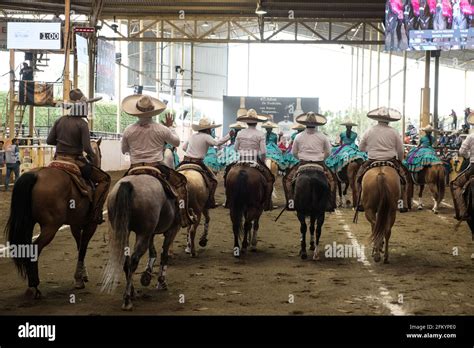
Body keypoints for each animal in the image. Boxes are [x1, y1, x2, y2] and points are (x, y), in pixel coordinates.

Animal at [4, 139, 103, 296]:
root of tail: (36, 175)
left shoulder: (75, 225)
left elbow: (79, 245)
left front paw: (82, 274)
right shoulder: (90, 225)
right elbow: (83, 248)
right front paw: (80, 279)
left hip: (28, 223)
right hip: (51, 227)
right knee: (35, 248)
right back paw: (34, 286)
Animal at [101, 166, 181, 310]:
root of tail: (128, 184)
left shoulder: (151, 233)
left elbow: (153, 251)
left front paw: (147, 276)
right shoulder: (172, 230)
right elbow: (164, 254)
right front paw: (161, 282)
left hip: (126, 232)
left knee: (127, 261)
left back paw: (131, 293)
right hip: (143, 233)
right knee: (133, 261)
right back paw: (127, 300)